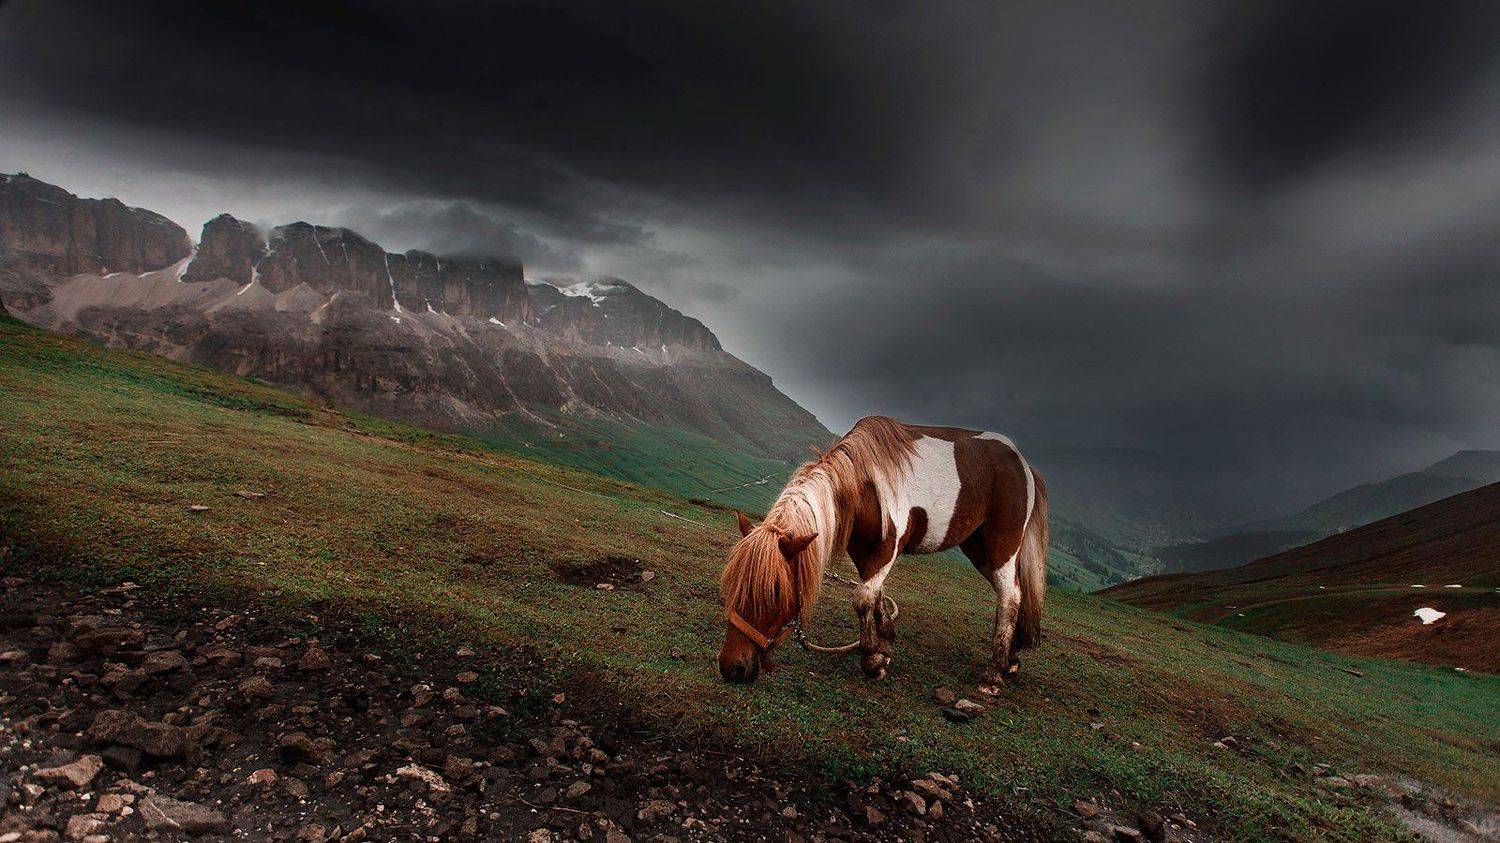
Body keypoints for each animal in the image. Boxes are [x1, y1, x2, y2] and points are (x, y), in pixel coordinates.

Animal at [717, 416, 1048, 693]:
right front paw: (884, 645)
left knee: (1009, 598)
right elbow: (874, 595)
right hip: (978, 549)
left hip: (1002, 545)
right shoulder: (862, 550)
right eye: (732, 583)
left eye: (774, 593)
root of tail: (1025, 467)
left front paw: (873, 662)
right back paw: (1010, 661)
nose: (732, 668)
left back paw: (992, 676)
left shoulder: (888, 547)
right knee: (1016, 594)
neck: (864, 483)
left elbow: (863, 597)